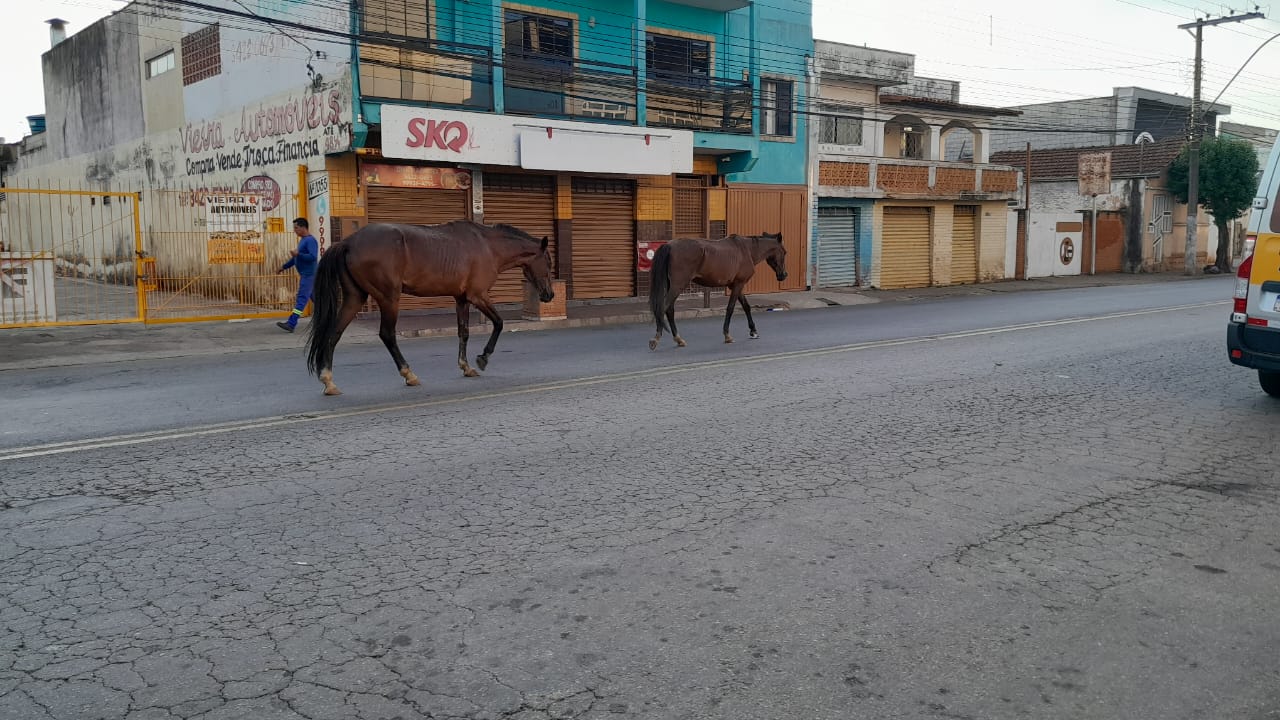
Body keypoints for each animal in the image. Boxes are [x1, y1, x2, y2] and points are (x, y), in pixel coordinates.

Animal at [308, 220, 555, 394]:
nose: (549, 294)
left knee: (334, 334)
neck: (488, 246)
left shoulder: (461, 299)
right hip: (389, 298)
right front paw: (483, 357)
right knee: (387, 335)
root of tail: (348, 243)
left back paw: (328, 380)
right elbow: (499, 323)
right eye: (548, 262)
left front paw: (466, 366)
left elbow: (463, 332)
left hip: (355, 298)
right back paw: (408, 374)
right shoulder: (478, 296)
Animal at [655, 230, 783, 348]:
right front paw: (727, 335)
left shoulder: (737, 285)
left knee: (669, 310)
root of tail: (670, 245)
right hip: (677, 286)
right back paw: (657, 337)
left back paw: (678, 339)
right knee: (664, 307)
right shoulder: (738, 284)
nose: (783, 275)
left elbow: (746, 306)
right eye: (784, 252)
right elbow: (730, 308)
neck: (747, 250)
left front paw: (753, 331)